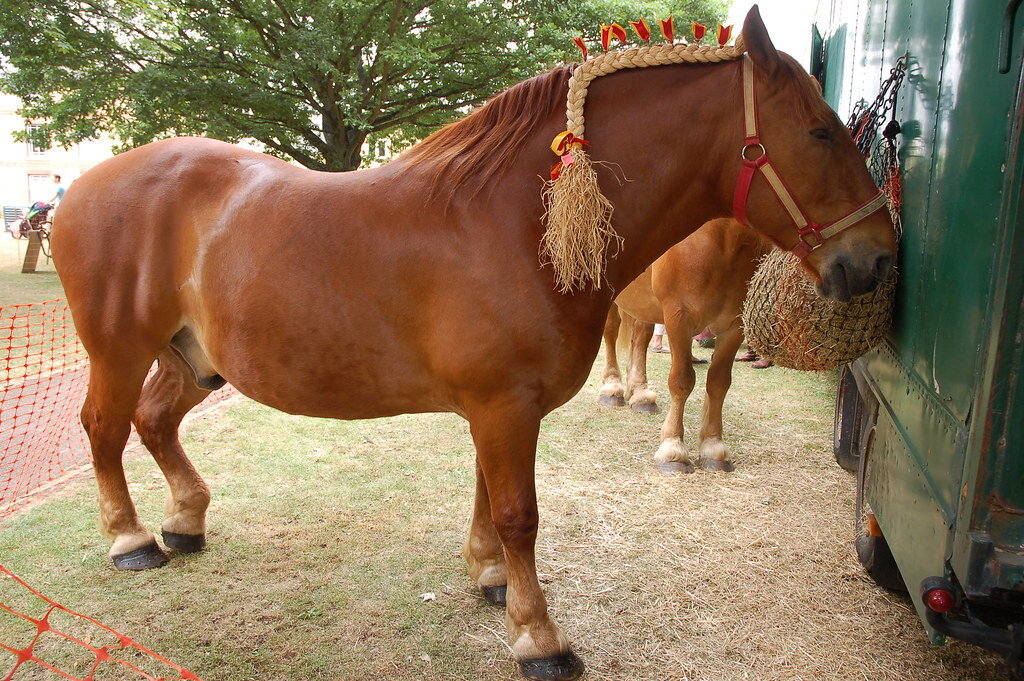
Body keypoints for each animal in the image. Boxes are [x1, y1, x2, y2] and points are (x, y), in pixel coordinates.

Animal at [598, 218, 771, 474]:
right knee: (610, 332)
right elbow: (682, 381)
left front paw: (713, 447)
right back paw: (612, 387)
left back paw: (640, 393)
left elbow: (719, 382)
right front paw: (673, 449)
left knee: (641, 336)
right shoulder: (679, 317)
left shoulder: (735, 325)